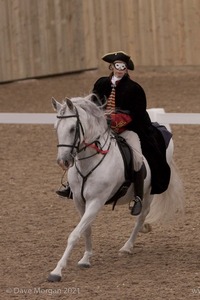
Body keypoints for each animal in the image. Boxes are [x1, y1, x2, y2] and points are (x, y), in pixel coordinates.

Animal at [47, 95, 184, 282]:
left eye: (72, 128)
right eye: (56, 128)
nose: (63, 161)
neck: (89, 161)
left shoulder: (96, 201)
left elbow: (74, 234)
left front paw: (57, 271)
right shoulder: (79, 201)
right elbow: (85, 230)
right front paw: (86, 259)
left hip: (148, 194)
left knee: (141, 217)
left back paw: (127, 247)